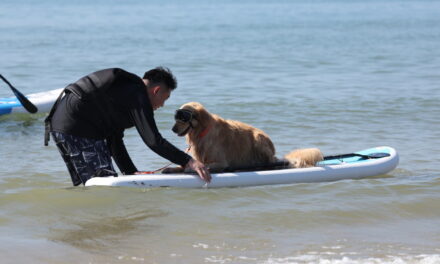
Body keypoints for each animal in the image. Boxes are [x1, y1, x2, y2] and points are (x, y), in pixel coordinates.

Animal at [168, 101, 324, 173]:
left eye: (182, 118)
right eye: (176, 117)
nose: (172, 129)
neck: (202, 131)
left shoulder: (221, 162)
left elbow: (201, 166)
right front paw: (173, 168)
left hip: (258, 139)